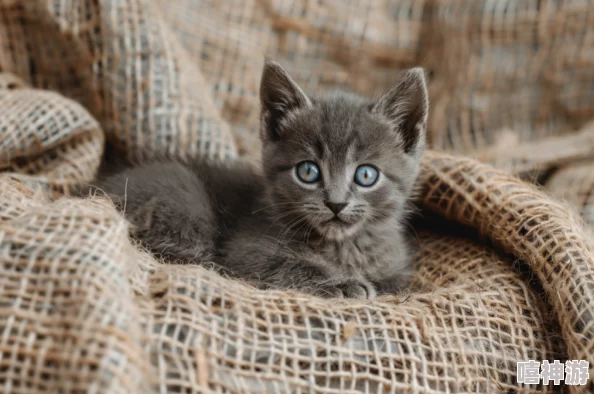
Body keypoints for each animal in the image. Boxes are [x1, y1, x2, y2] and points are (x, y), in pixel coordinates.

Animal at [91, 60, 426, 298]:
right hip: (182, 192)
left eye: (366, 175)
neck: (343, 246)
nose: (336, 203)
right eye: (308, 171)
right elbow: (285, 263)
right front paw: (343, 283)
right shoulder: (245, 249)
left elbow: (393, 281)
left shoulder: (397, 267)